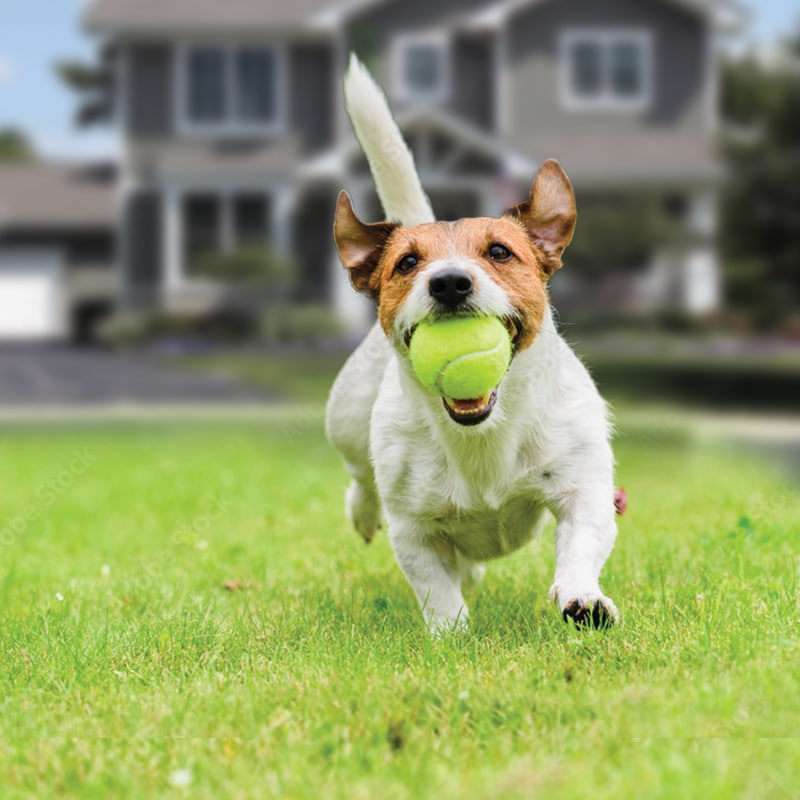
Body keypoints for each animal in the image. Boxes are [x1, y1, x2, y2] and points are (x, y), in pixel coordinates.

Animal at [324, 54, 620, 632]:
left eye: (500, 252)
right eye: (407, 263)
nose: (449, 282)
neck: (482, 435)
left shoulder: (584, 487)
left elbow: (581, 543)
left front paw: (582, 599)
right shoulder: (413, 527)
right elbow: (434, 586)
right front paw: (452, 633)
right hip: (345, 421)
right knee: (360, 479)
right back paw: (362, 511)